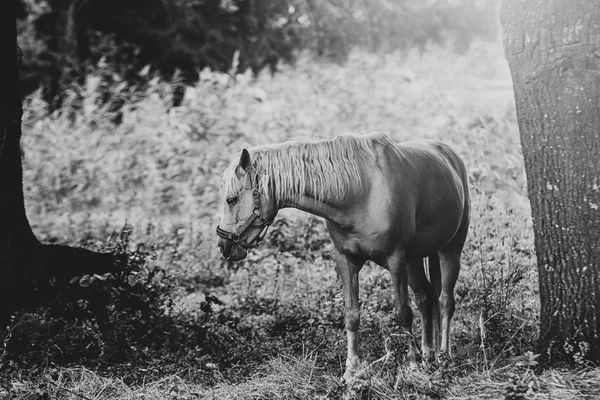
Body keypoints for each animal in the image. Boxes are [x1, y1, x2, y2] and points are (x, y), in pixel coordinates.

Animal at [216, 132, 468, 382]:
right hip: (415, 260)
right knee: (425, 298)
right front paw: (350, 372)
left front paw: (412, 368)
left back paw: (443, 358)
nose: (223, 245)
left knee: (445, 301)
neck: (360, 192)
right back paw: (428, 357)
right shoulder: (346, 261)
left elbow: (403, 313)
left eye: (231, 199)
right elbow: (352, 315)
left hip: (450, 250)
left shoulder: (396, 260)